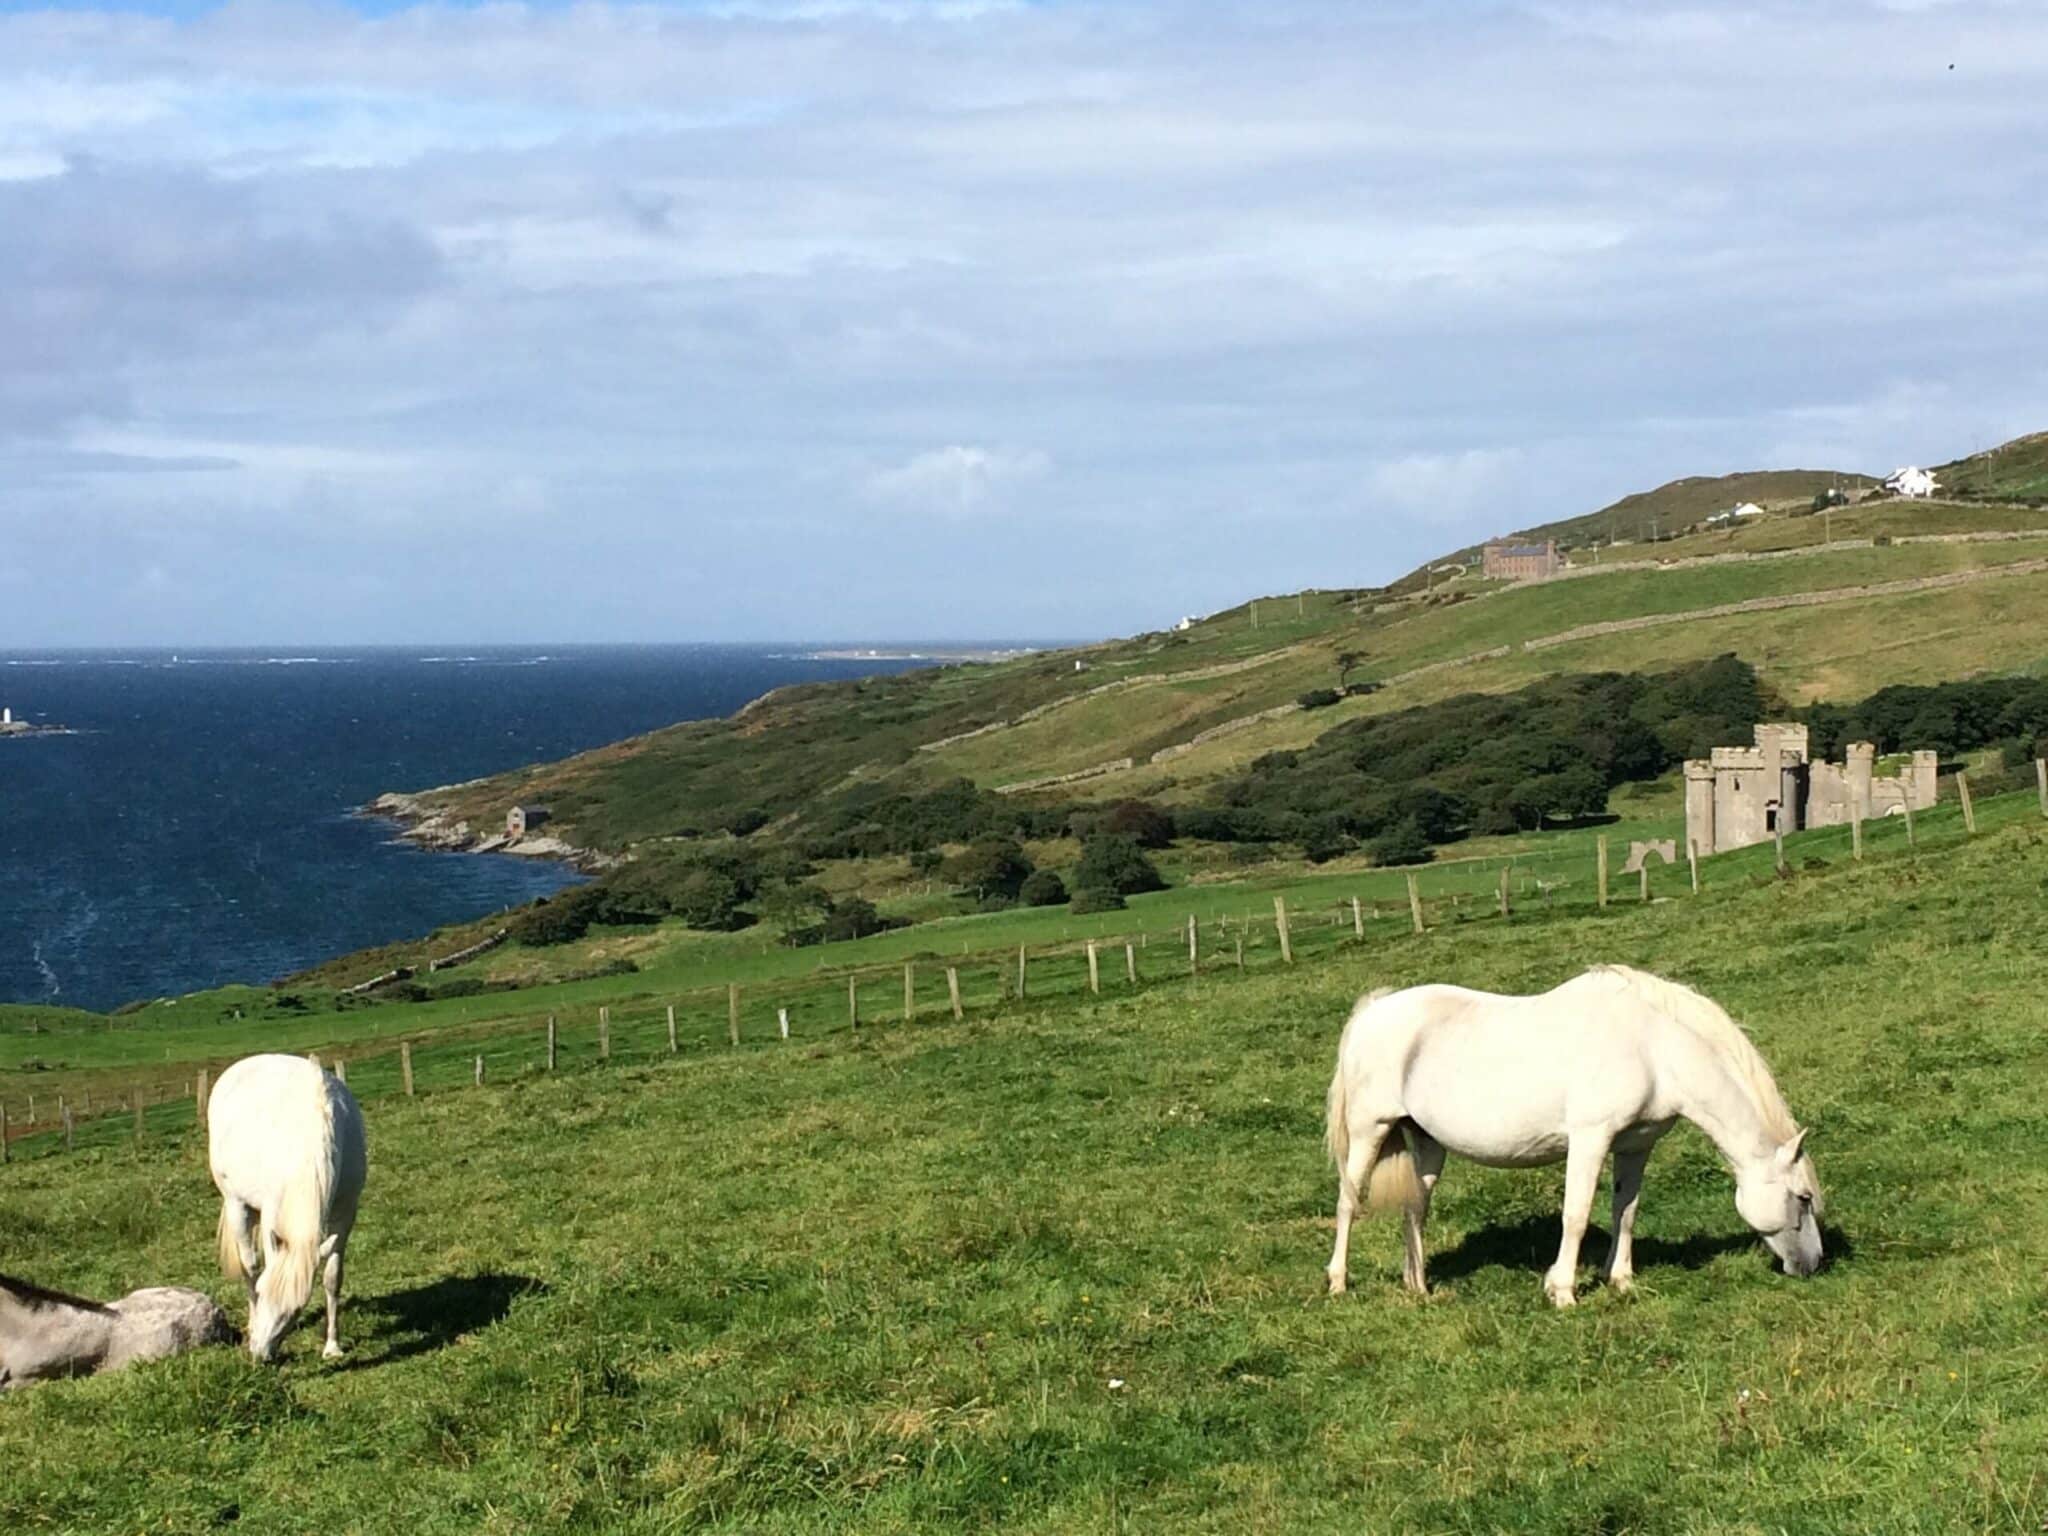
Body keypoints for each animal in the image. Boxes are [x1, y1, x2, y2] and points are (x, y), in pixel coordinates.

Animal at [209, 1056, 370, 1368]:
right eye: (263, 1292)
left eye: (296, 1310)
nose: (260, 1356)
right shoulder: (273, 1213)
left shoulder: (345, 1214)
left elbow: (332, 1277)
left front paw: (332, 1346)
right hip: (236, 1203)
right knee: (250, 1265)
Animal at [1327, 962, 1826, 1310]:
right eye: (1803, 1198)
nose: (1814, 1264)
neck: (1652, 1048)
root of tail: (1371, 1012)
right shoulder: (1590, 1140)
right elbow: (1577, 1215)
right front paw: (1562, 1291)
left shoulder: (1635, 1146)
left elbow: (1626, 1211)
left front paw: (1621, 1280)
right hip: (1370, 1131)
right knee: (1348, 1203)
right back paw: (1338, 1282)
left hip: (1428, 1143)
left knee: (1415, 1208)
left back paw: (1419, 1287)